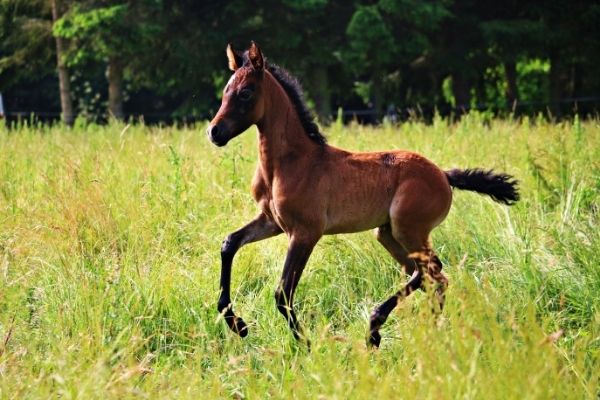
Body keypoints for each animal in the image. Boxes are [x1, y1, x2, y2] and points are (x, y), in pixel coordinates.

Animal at [205, 41, 516, 346]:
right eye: (225, 91)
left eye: (246, 92)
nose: (214, 132)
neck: (291, 162)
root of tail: (443, 174)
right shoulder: (272, 221)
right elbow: (229, 243)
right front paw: (236, 323)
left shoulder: (305, 232)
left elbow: (283, 292)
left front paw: (305, 344)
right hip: (388, 234)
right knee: (433, 277)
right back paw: (428, 332)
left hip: (408, 229)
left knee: (431, 270)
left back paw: (375, 328)